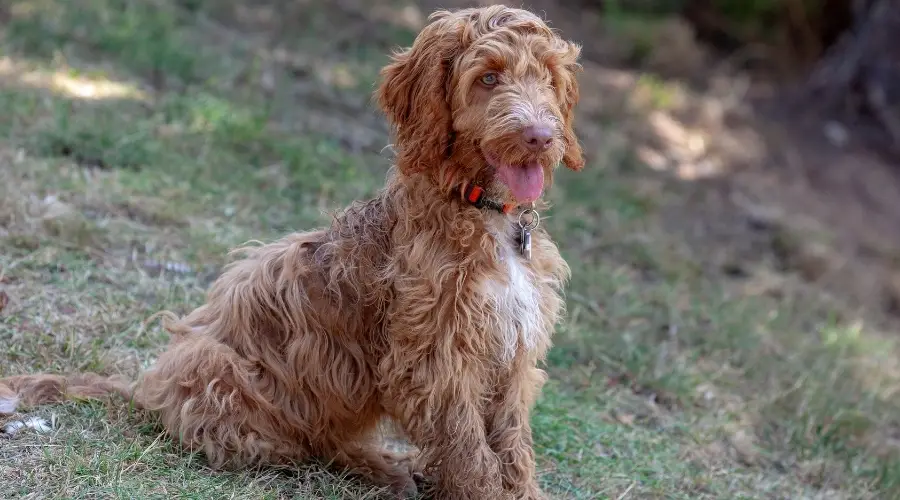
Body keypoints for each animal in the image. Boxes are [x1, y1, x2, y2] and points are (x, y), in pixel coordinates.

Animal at [0, 4, 588, 500]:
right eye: (487, 77)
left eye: (546, 77)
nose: (540, 137)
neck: (486, 214)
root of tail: (148, 389)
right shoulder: (434, 362)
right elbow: (471, 452)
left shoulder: (511, 352)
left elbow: (512, 444)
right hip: (217, 367)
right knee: (304, 445)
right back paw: (379, 469)